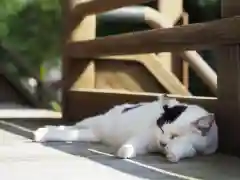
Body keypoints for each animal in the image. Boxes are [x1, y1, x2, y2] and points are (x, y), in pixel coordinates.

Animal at [33, 95, 219, 162]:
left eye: (174, 136)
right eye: (161, 129)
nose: (162, 143)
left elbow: (187, 149)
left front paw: (174, 152)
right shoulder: (146, 136)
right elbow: (132, 143)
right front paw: (125, 151)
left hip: (92, 133)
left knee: (73, 132)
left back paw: (44, 133)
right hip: (94, 122)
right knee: (71, 126)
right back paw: (43, 131)